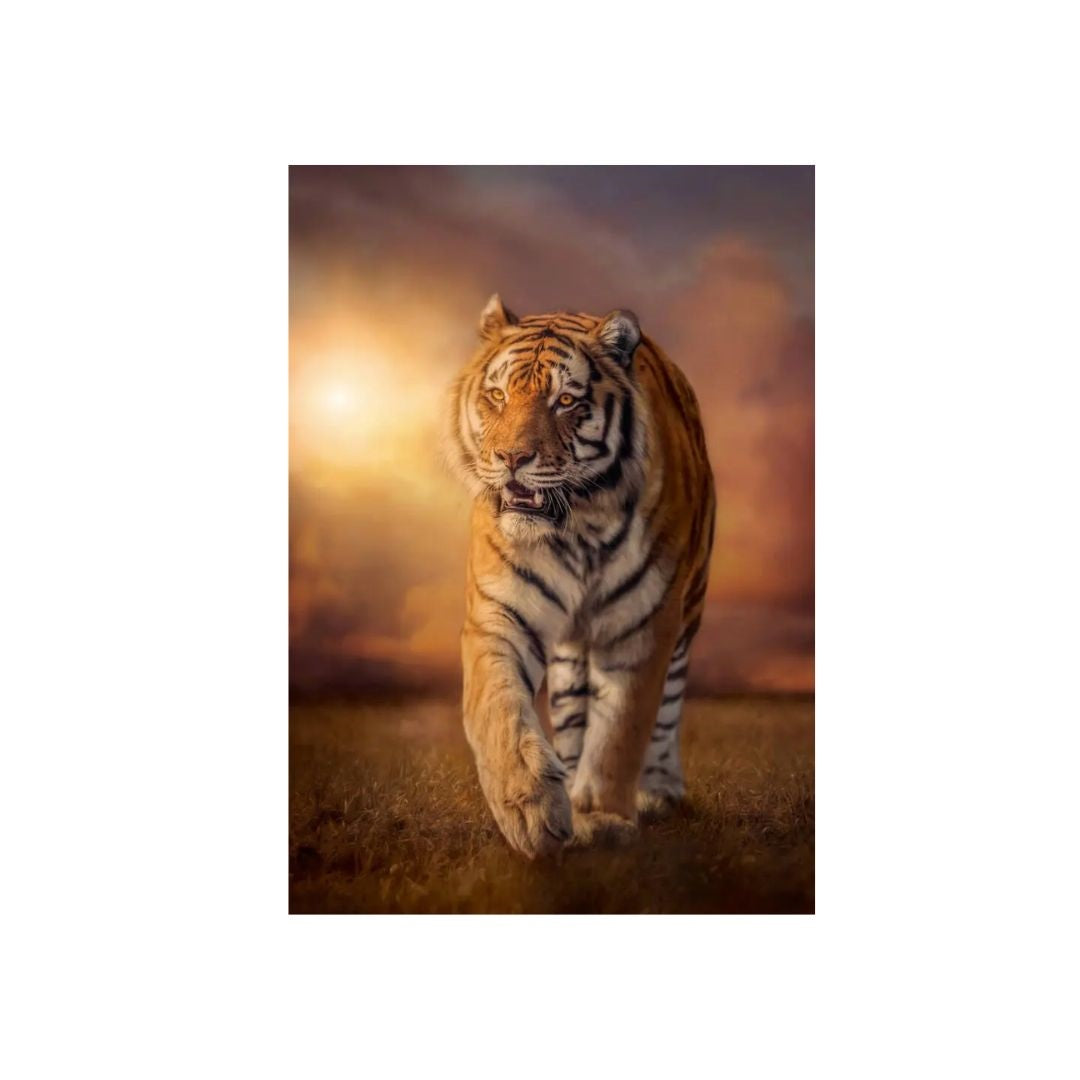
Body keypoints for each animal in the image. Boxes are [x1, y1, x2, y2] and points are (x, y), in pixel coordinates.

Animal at [446, 294, 716, 858]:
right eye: (498, 395)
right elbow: (498, 707)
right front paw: (531, 809)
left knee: (668, 708)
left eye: (566, 401)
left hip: (689, 611)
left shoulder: (642, 626)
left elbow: (621, 731)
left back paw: (658, 790)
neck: (577, 527)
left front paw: (604, 817)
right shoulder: (499, 613)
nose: (512, 459)